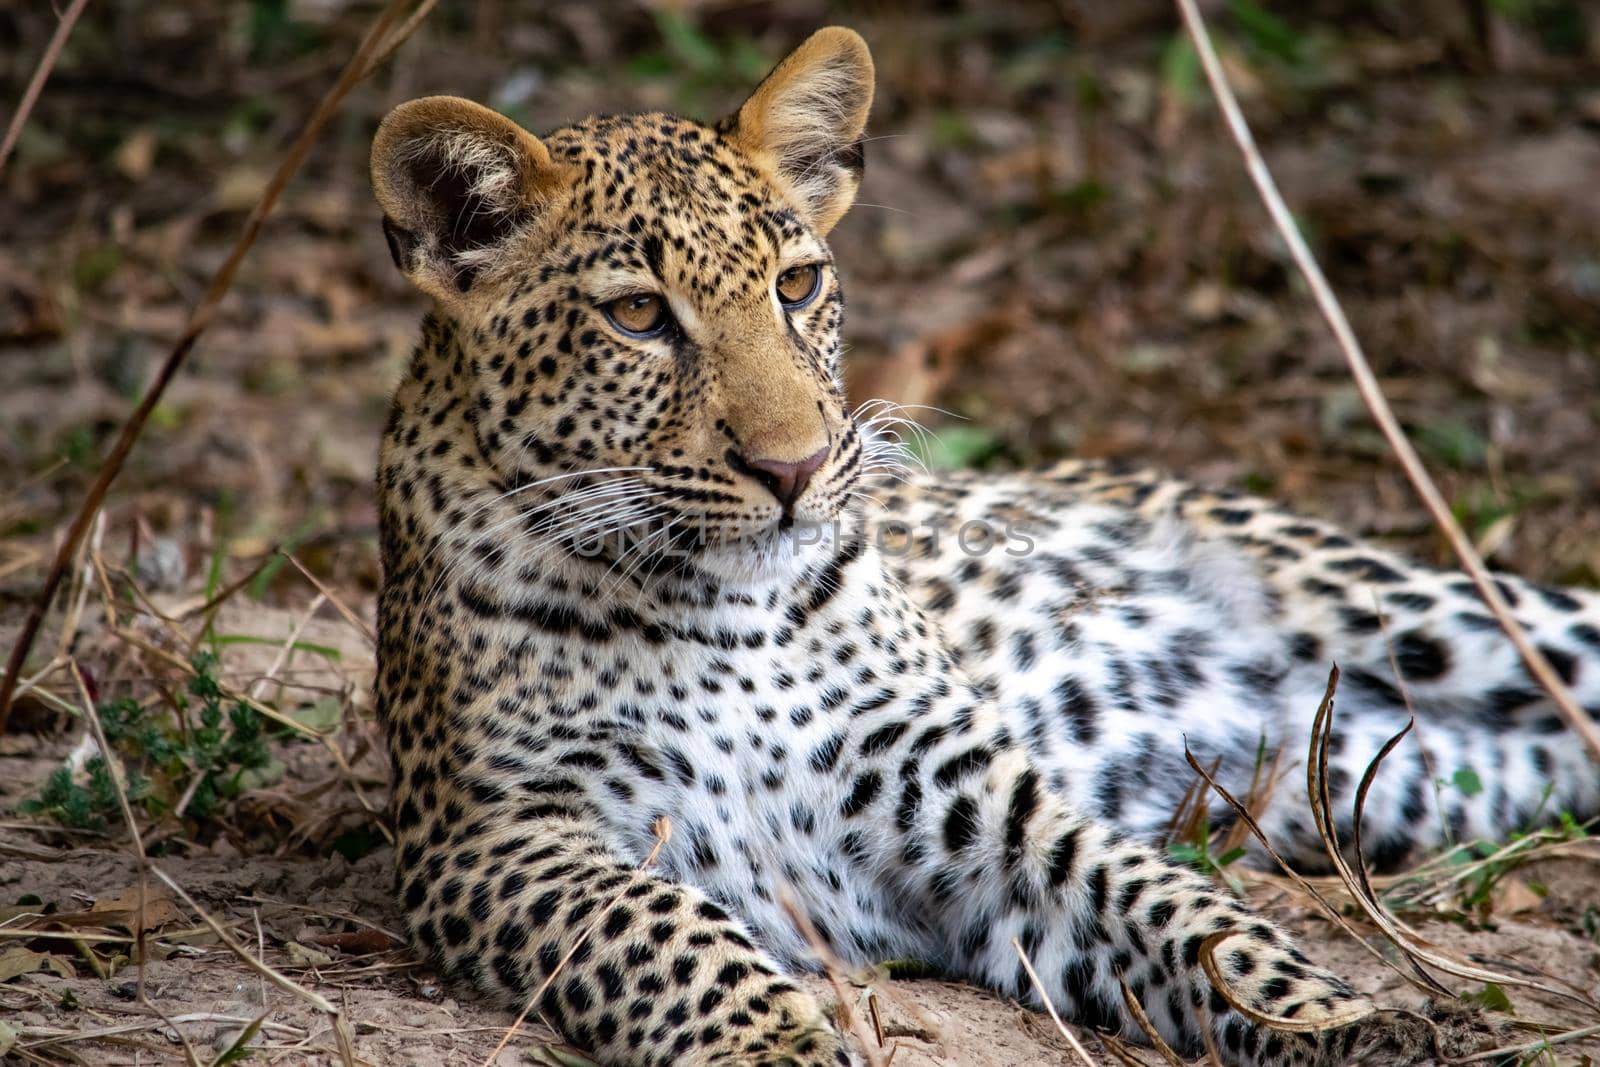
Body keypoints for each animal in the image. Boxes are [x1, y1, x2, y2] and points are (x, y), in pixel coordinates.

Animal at [368, 29, 1600, 1067]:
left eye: (796, 285)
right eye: (636, 316)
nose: (795, 468)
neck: (723, 618)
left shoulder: (986, 805)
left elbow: (1190, 918)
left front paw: (1342, 1020)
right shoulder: (495, 838)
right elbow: (668, 936)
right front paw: (780, 1047)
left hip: (1429, 613)